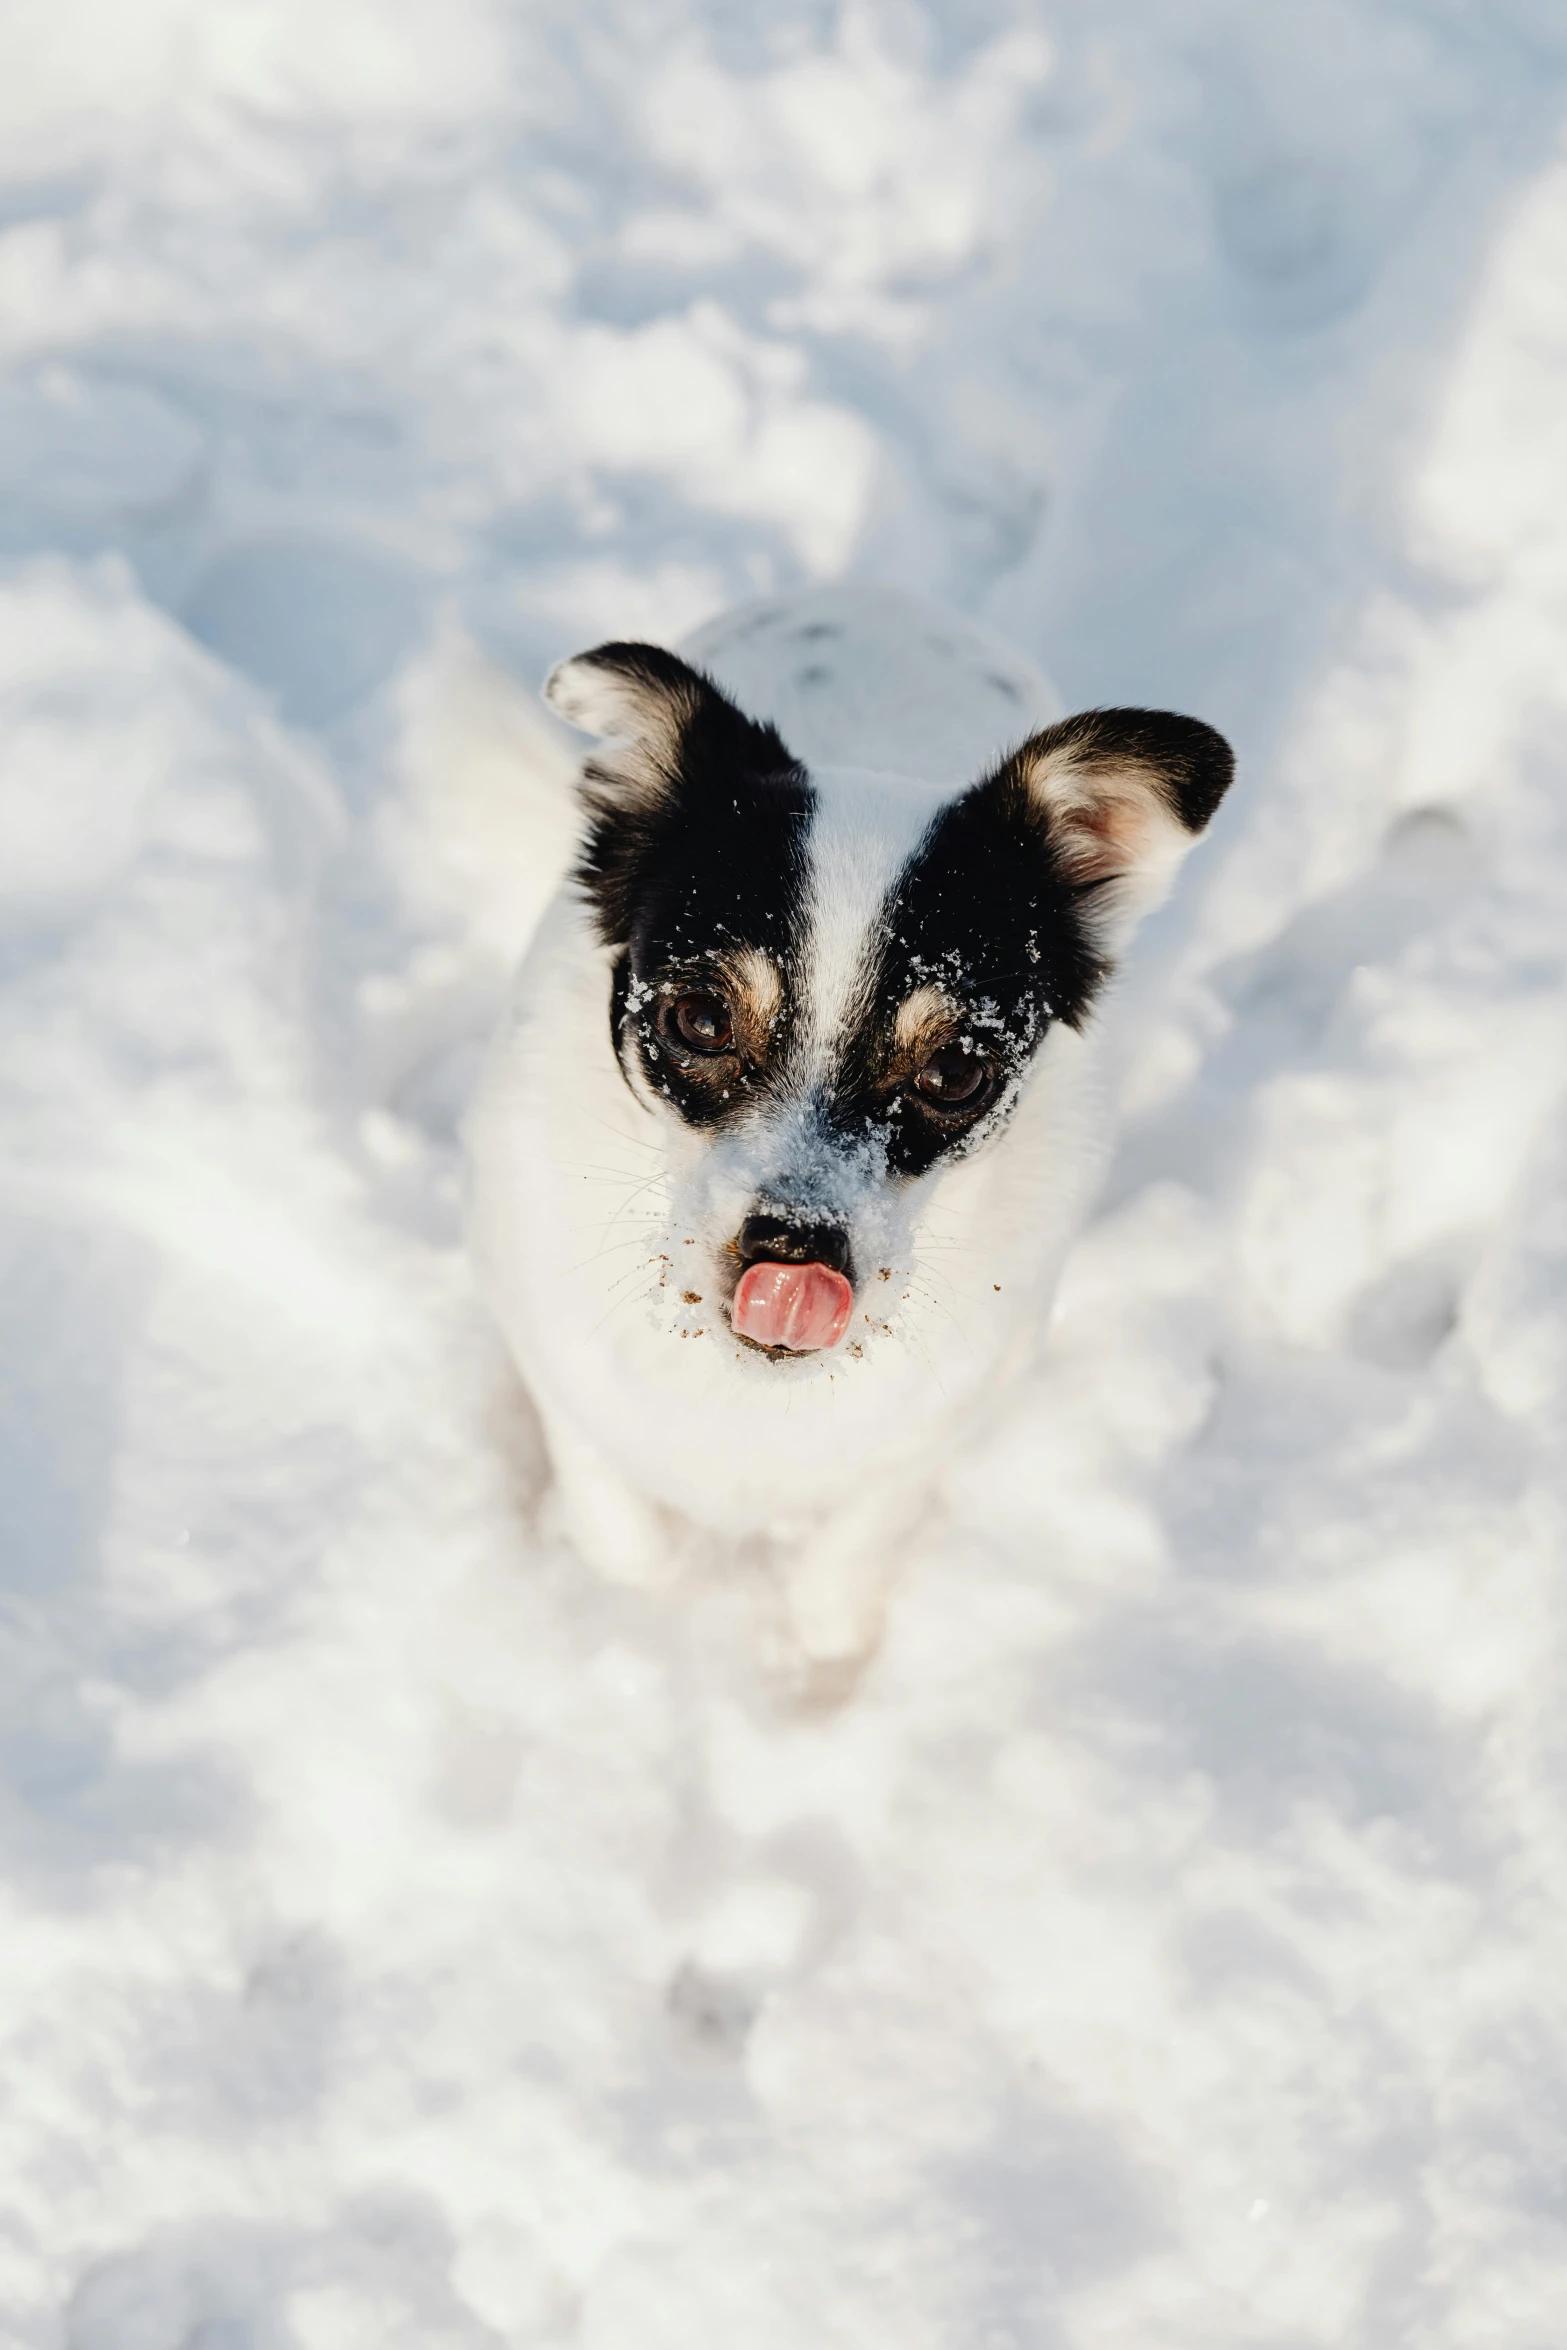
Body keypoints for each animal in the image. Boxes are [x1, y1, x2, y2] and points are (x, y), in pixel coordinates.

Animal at [469, 587, 1240, 1691]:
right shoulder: (558, 1366)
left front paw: (818, 1679)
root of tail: (876, 602)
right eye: (698, 1019)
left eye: (955, 1072)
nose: (793, 1250)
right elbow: (626, 1533)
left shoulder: (928, 1432)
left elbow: (844, 1568)